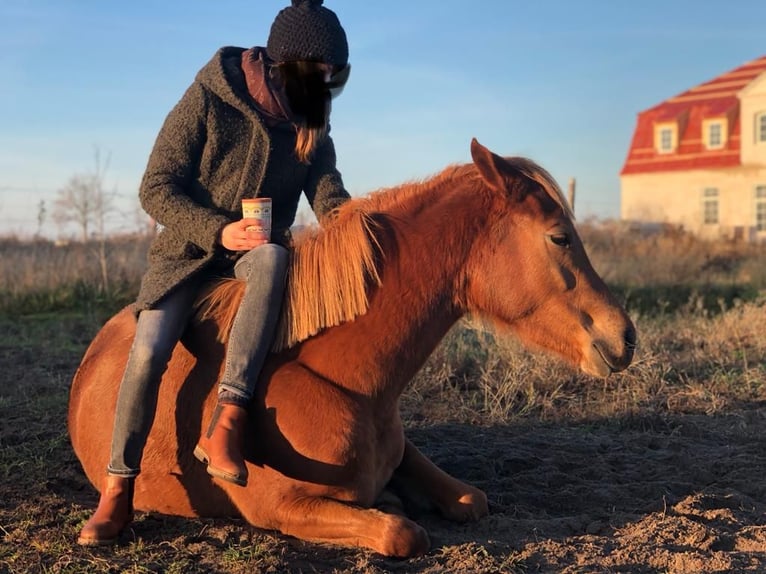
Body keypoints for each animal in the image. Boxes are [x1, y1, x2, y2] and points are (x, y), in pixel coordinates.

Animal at [70, 140, 636, 560]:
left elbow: (470, 499)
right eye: (559, 237)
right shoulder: (278, 504)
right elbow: (401, 531)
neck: (339, 379)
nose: (625, 336)